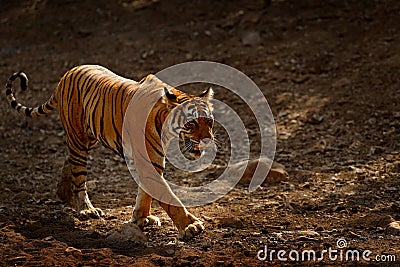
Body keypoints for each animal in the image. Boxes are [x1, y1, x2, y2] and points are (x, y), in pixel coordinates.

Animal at [4, 65, 214, 241]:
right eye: (192, 123)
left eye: (209, 122)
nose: (208, 141)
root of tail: (67, 74)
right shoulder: (147, 162)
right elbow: (167, 196)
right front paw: (191, 226)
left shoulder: (153, 160)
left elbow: (146, 192)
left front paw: (142, 218)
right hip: (78, 138)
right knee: (79, 175)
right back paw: (86, 209)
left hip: (89, 137)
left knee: (69, 160)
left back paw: (63, 192)